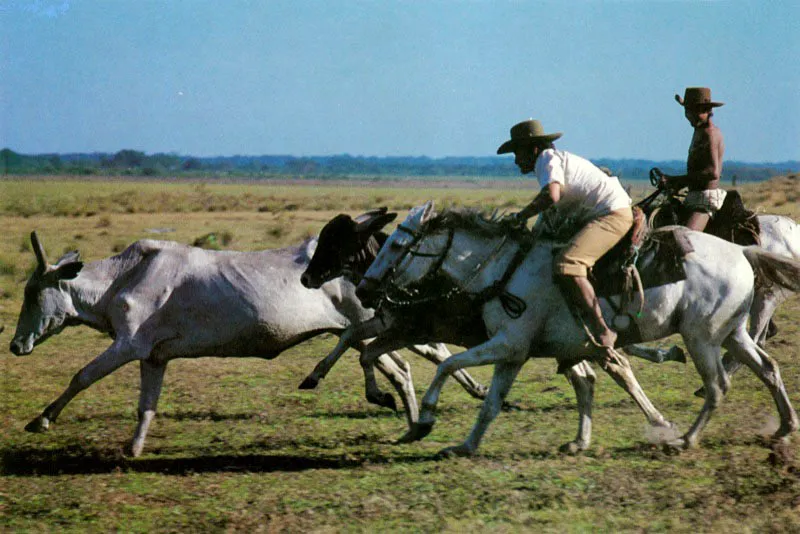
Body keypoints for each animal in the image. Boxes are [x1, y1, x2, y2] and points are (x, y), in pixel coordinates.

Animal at [7, 232, 418, 458]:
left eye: (32, 293)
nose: (15, 345)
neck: (121, 278)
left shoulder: (128, 346)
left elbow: (81, 376)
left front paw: (42, 419)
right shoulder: (153, 356)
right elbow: (146, 406)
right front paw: (134, 447)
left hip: (365, 328)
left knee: (396, 366)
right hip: (361, 332)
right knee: (398, 368)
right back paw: (412, 427)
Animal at [356, 203, 800, 458]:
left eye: (396, 245)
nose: (364, 289)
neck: (506, 270)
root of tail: (742, 249)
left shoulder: (507, 345)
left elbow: (447, 366)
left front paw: (425, 422)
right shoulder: (516, 353)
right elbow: (493, 403)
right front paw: (465, 446)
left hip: (701, 338)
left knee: (718, 385)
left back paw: (685, 440)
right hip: (732, 334)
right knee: (768, 368)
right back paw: (784, 427)